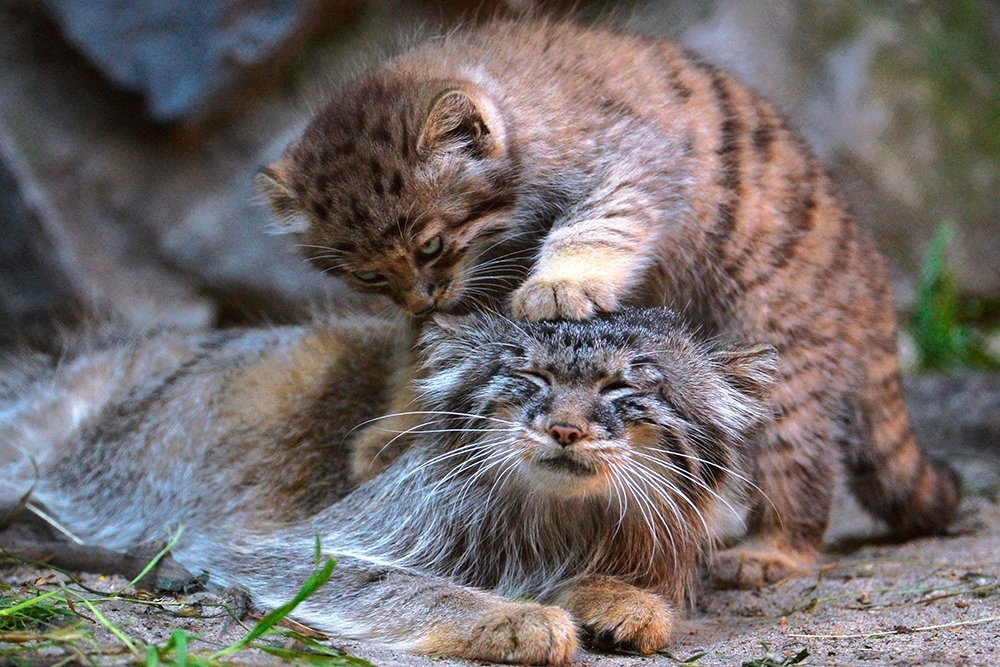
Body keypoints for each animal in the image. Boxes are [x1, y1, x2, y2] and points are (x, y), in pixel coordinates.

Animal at [0, 310, 776, 664]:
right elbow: (400, 582)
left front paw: (620, 599)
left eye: (622, 388)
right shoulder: (272, 547)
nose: (562, 429)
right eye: (530, 377)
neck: (557, 518)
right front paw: (510, 615)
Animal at [258, 18, 960, 588]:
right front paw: (401, 425)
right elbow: (431, 358)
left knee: (799, 468)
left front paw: (561, 283)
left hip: (781, 361)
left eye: (430, 246)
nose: (421, 298)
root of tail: (872, 276)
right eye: (368, 276)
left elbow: (600, 224)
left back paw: (773, 548)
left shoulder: (636, 165)